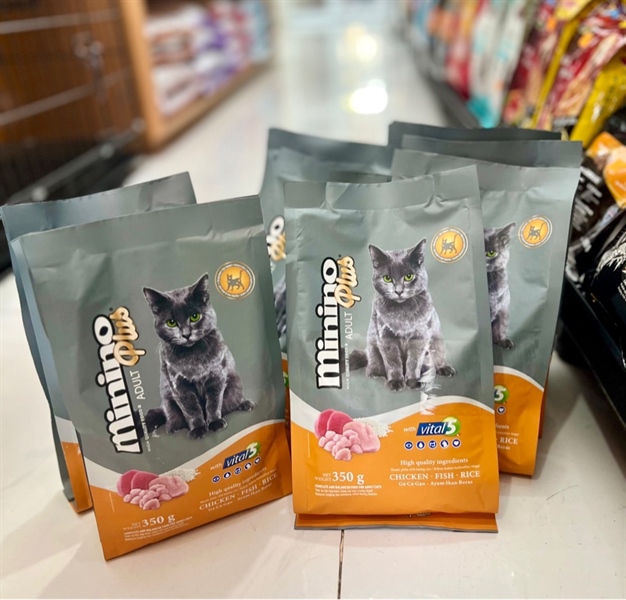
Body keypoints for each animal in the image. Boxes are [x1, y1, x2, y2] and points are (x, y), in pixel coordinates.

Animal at [142, 274, 255, 440]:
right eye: (171, 322)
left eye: (195, 317)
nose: (186, 334)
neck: (193, 359)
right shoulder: (179, 385)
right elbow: (191, 409)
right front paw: (198, 429)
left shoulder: (217, 376)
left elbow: (213, 402)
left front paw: (215, 423)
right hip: (168, 402)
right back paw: (171, 428)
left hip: (234, 384)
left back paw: (245, 404)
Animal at [349, 240, 456, 392]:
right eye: (387, 278)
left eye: (409, 276)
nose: (398, 291)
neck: (402, 315)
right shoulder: (385, 337)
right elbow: (393, 362)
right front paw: (395, 382)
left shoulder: (420, 336)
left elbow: (414, 362)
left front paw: (413, 382)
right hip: (372, 344)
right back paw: (373, 372)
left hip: (437, 340)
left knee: (437, 358)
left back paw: (444, 368)